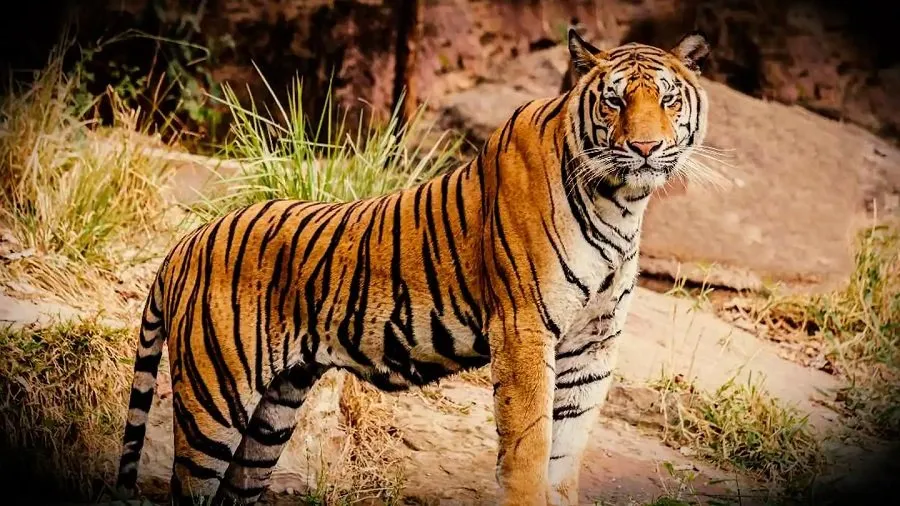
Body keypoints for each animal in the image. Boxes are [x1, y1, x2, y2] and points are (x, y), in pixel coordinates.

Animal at [115, 28, 711, 506]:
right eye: (613, 101)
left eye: (667, 99)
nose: (645, 147)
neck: (622, 203)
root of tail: (185, 243)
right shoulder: (523, 328)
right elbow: (529, 446)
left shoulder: (593, 343)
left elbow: (565, 453)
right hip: (214, 401)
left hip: (272, 414)